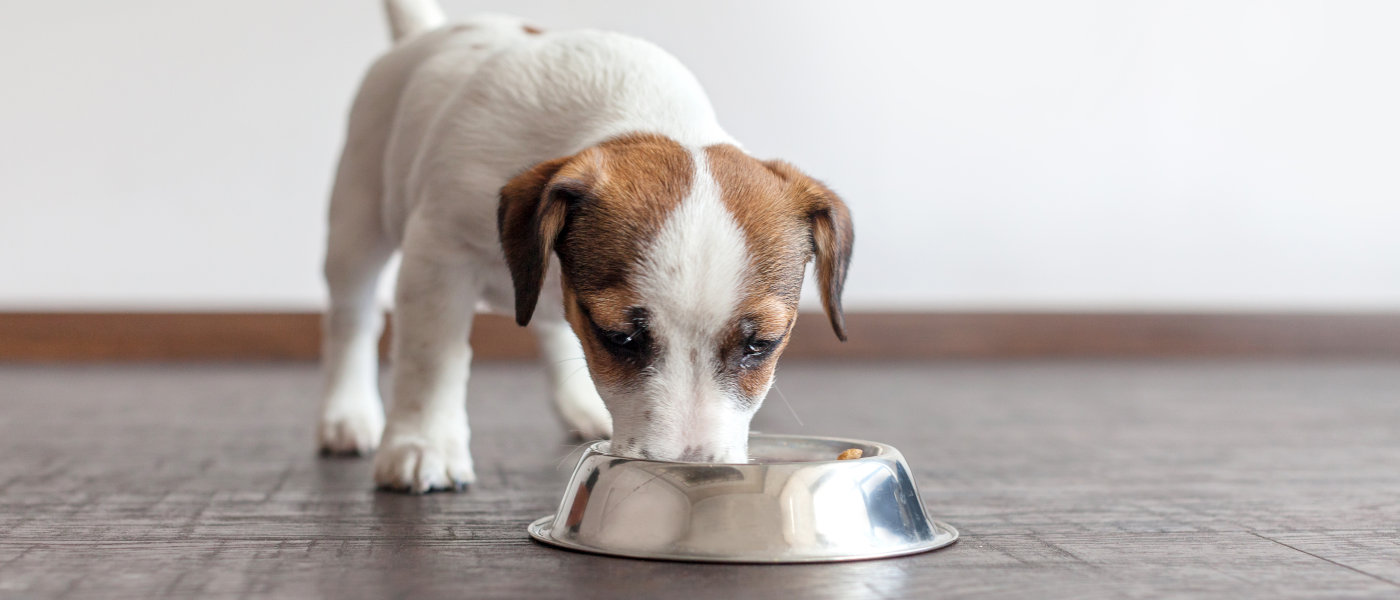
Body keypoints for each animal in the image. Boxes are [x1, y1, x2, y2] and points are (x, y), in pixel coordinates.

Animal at [320, 0, 851, 492]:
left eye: (762, 344)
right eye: (620, 338)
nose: (690, 470)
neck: (640, 111)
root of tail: (424, 35)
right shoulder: (439, 252)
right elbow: (431, 358)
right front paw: (423, 443)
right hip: (355, 226)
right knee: (352, 319)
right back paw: (347, 413)